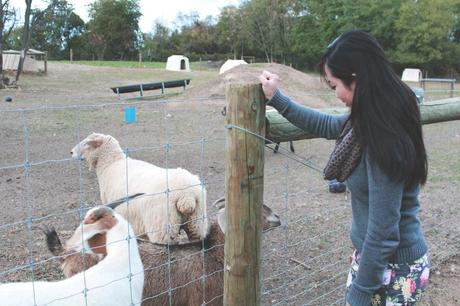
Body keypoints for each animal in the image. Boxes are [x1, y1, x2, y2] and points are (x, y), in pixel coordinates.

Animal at [71, 133, 209, 245]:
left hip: (162, 228)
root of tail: (186, 195)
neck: (111, 164)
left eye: (86, 144)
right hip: (197, 224)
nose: (71, 152)